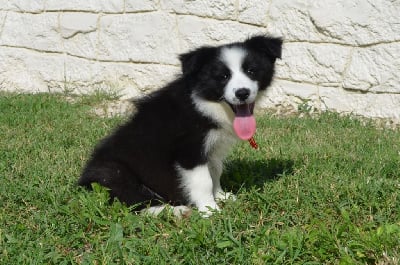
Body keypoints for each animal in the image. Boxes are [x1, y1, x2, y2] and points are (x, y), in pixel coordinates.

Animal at [79, 35, 282, 216]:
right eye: (223, 76)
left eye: (251, 71)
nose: (242, 93)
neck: (205, 103)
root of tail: (83, 181)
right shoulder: (189, 150)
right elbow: (203, 180)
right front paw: (210, 210)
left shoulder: (212, 149)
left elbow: (215, 172)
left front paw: (221, 196)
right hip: (113, 173)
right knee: (133, 202)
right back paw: (175, 211)